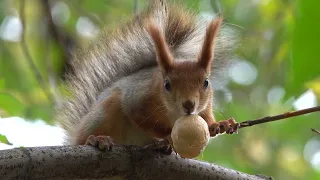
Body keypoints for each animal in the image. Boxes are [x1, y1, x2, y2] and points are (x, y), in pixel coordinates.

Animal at [56, 0, 239, 150]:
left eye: (206, 82)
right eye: (167, 85)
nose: (189, 104)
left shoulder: (205, 105)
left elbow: (207, 117)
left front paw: (218, 125)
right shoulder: (137, 99)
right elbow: (142, 119)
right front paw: (167, 135)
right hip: (103, 113)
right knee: (85, 137)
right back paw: (96, 140)